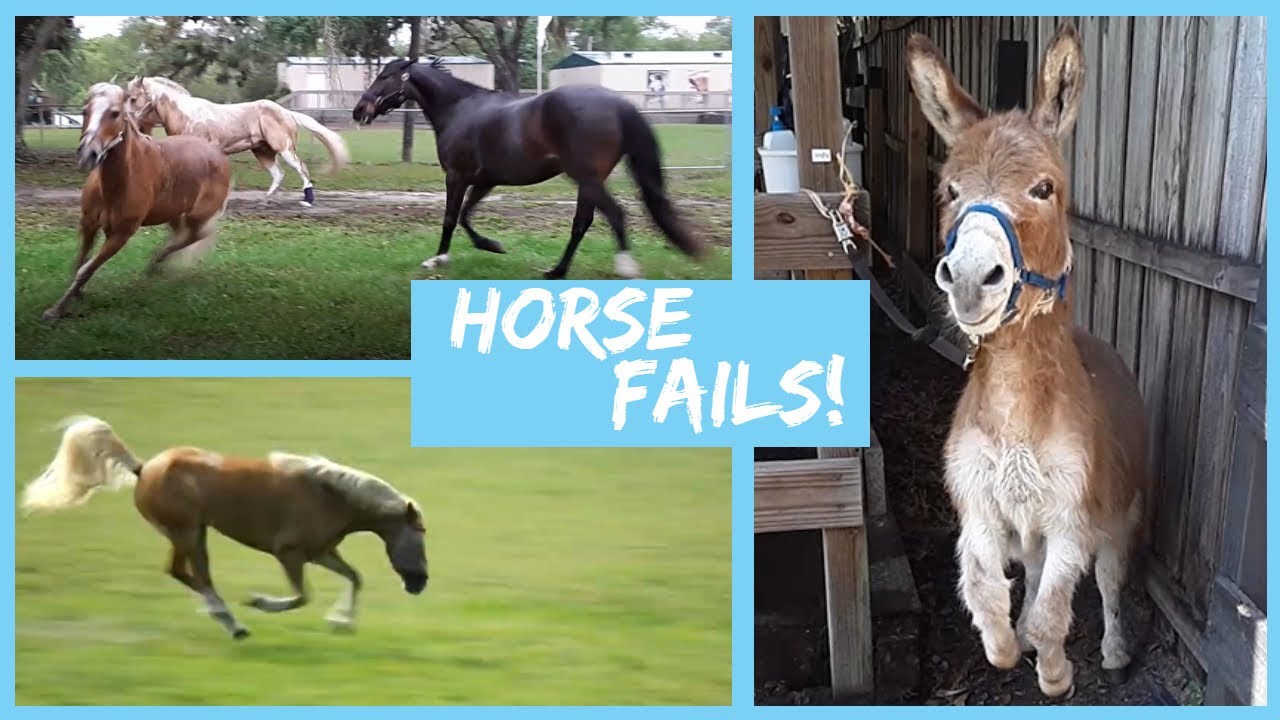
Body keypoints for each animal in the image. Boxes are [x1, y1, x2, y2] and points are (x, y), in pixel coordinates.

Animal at [21, 415, 429, 640]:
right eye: (420, 537)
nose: (420, 584)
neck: (329, 496)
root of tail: (143, 468)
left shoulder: (322, 553)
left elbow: (355, 577)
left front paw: (341, 622)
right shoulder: (290, 554)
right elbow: (302, 596)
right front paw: (260, 602)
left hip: (193, 533)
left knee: (181, 572)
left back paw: (221, 615)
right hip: (188, 533)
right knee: (193, 574)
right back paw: (233, 624)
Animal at [41, 82, 232, 322]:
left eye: (115, 113)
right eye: (85, 111)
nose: (87, 154)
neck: (116, 185)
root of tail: (217, 152)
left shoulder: (120, 235)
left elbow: (85, 269)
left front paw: (56, 310)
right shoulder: (88, 224)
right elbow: (80, 262)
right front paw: (76, 295)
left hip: (197, 215)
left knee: (195, 235)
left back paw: (155, 264)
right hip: (174, 214)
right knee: (181, 235)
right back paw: (154, 266)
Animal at [125, 76, 350, 208]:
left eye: (133, 98)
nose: (127, 120)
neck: (187, 115)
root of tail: (286, 112)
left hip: (284, 148)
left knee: (301, 167)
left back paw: (307, 200)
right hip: (263, 152)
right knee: (278, 174)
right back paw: (265, 200)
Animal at [352, 57, 704, 279]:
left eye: (384, 77)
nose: (359, 110)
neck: (460, 110)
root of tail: (618, 104)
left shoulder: (456, 177)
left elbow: (451, 218)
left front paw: (437, 259)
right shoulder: (485, 181)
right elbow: (466, 216)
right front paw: (493, 246)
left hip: (586, 178)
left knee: (614, 215)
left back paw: (624, 268)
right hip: (589, 181)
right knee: (583, 223)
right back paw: (557, 271)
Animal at [906, 22, 1149, 698]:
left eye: (1043, 189)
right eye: (950, 191)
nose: (969, 279)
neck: (1018, 413)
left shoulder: (1073, 517)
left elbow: (1049, 611)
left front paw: (1057, 674)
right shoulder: (981, 513)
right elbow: (989, 599)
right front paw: (1010, 648)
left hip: (1121, 514)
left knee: (1111, 583)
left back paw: (1115, 653)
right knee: (1036, 578)